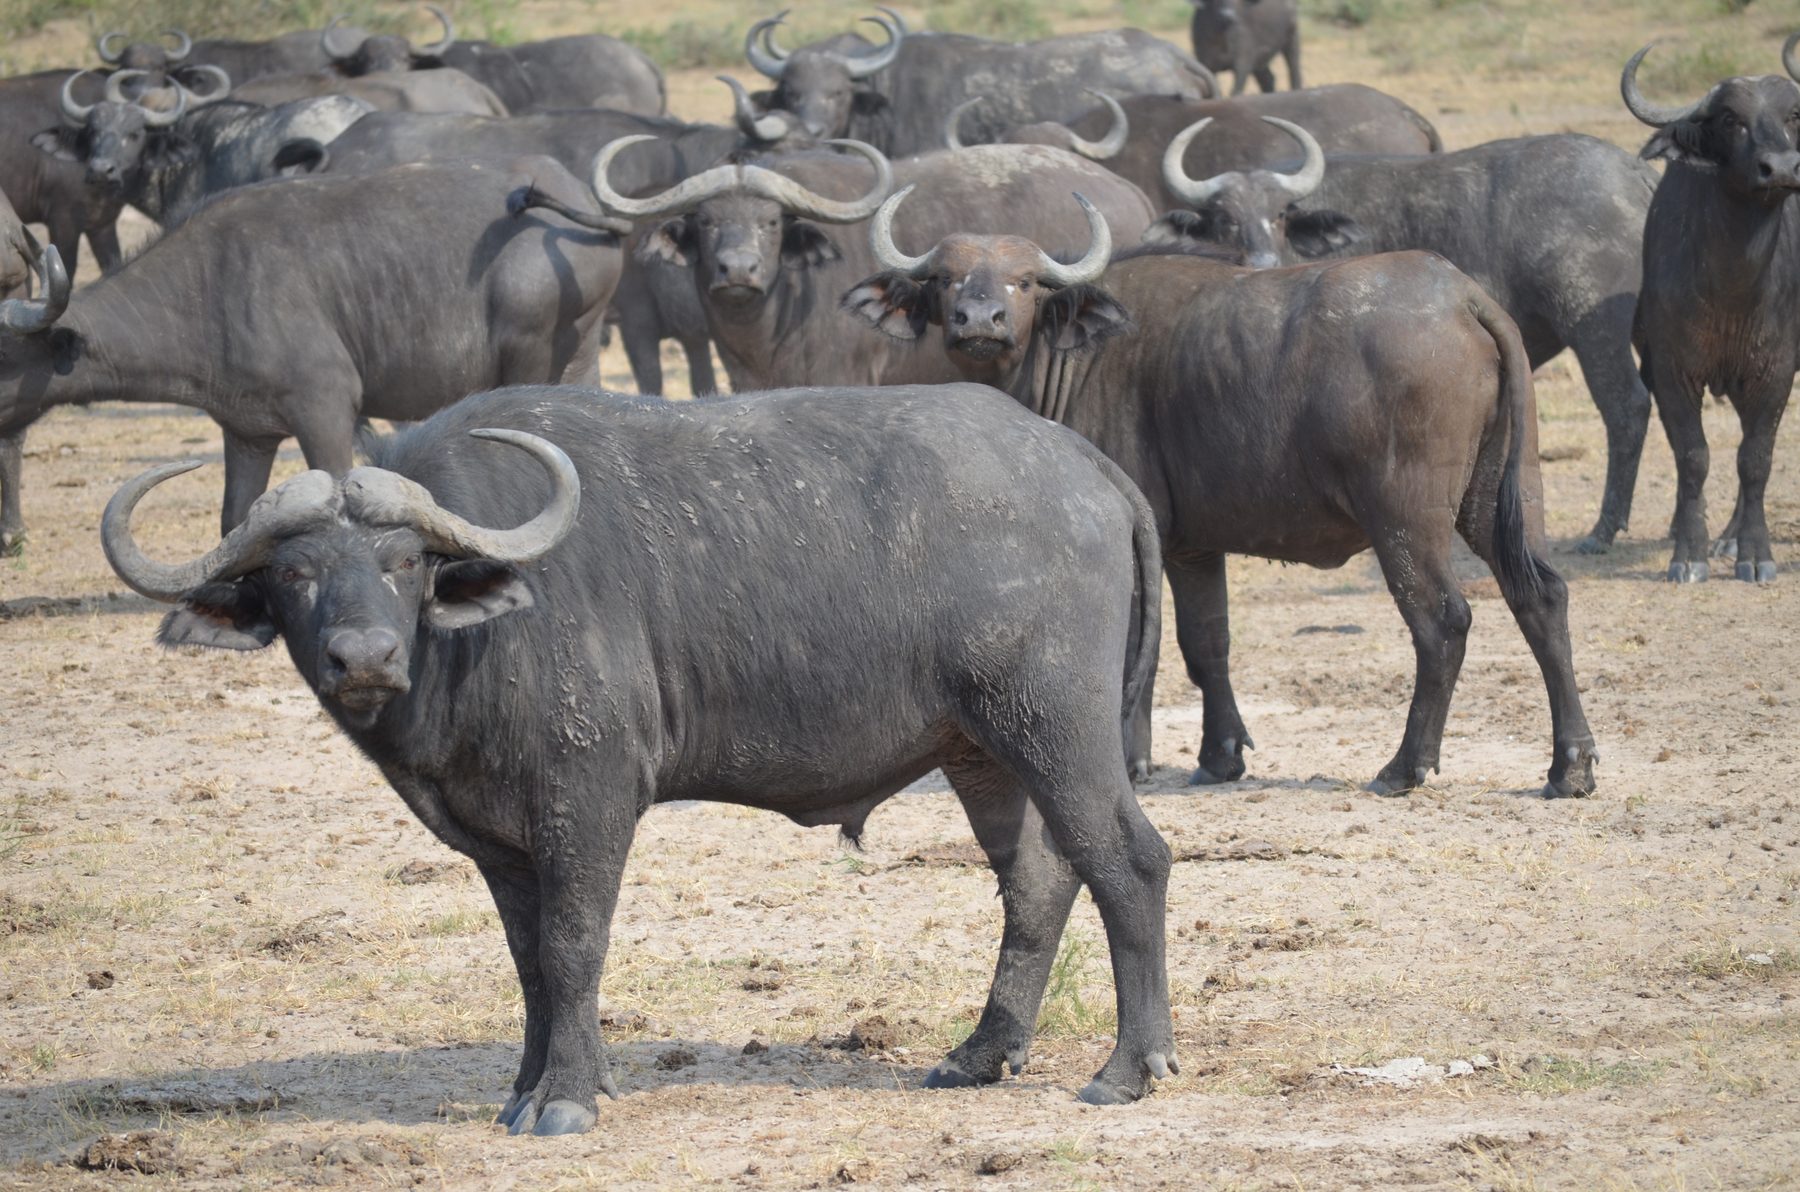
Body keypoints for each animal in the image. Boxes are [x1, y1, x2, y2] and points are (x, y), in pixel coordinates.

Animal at [0, 158, 624, 534]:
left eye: (3, 358)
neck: (208, 287)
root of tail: (578, 196)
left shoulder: (326, 412)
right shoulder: (247, 433)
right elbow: (234, 519)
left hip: (528, 353)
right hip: (581, 358)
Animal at [100, 381, 1175, 1130]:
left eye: (405, 562)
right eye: (292, 573)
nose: (362, 657)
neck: (478, 641)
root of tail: (1085, 465)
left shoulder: (590, 800)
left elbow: (576, 944)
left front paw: (568, 1097)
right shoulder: (498, 841)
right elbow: (529, 962)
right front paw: (524, 1088)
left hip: (1054, 724)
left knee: (1130, 860)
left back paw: (1129, 1068)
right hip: (979, 748)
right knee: (1038, 878)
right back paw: (981, 1053)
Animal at [842, 191, 1599, 797]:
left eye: (1025, 281)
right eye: (945, 279)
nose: (980, 320)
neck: (1076, 354)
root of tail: (1459, 294)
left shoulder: (1139, 536)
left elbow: (1139, 647)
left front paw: (1132, 760)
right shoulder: (1193, 548)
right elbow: (1207, 644)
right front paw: (1220, 754)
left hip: (1405, 518)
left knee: (1442, 622)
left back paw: (1405, 767)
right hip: (1501, 498)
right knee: (1542, 597)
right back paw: (1570, 766)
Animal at [1146, 119, 1659, 555]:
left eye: (1280, 214)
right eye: (1223, 217)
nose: (1260, 261)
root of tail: (1633, 171)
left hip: (1593, 326)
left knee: (1626, 405)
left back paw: (1602, 531)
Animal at [1623, 43, 1800, 583]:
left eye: (1793, 115)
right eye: (1730, 119)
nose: (1780, 169)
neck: (1733, 291)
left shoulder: (1775, 371)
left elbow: (1756, 459)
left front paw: (1757, 555)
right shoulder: (1671, 372)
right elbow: (1692, 457)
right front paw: (1688, 553)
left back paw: (1733, 537)